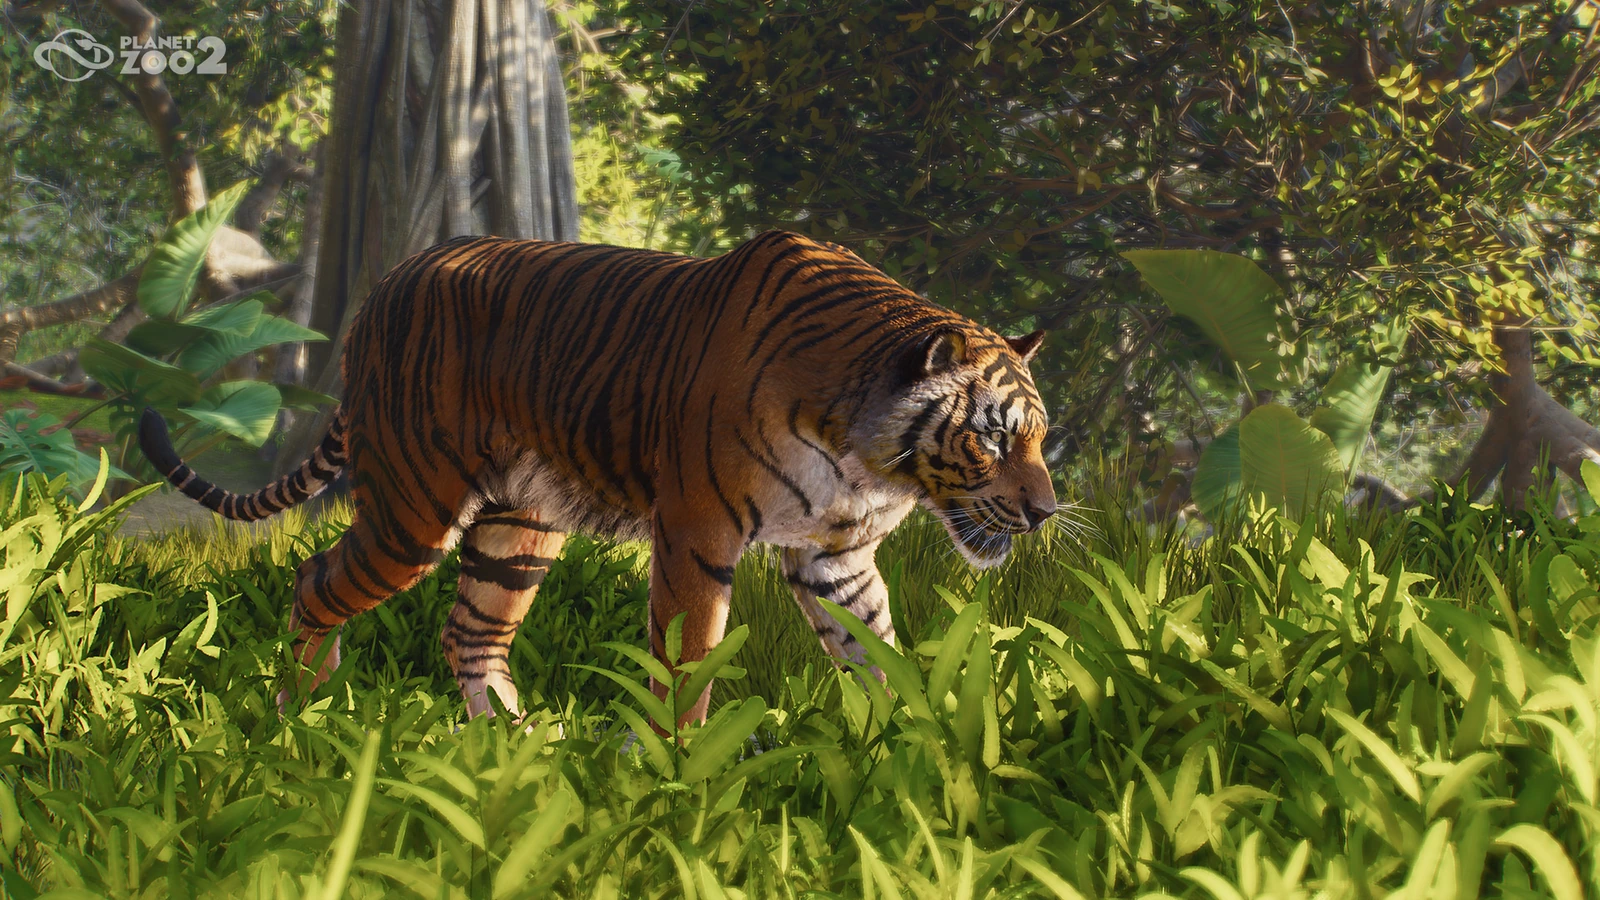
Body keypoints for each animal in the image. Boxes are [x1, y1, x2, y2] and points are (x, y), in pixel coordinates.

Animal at [139, 231, 1057, 725]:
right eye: (993, 437)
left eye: (1043, 439)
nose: (1047, 512)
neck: (864, 454)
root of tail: (383, 285)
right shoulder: (698, 533)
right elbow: (687, 664)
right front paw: (679, 773)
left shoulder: (836, 559)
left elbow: (879, 651)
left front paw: (912, 743)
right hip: (412, 507)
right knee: (314, 577)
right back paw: (304, 713)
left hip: (518, 526)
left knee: (470, 633)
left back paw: (517, 748)